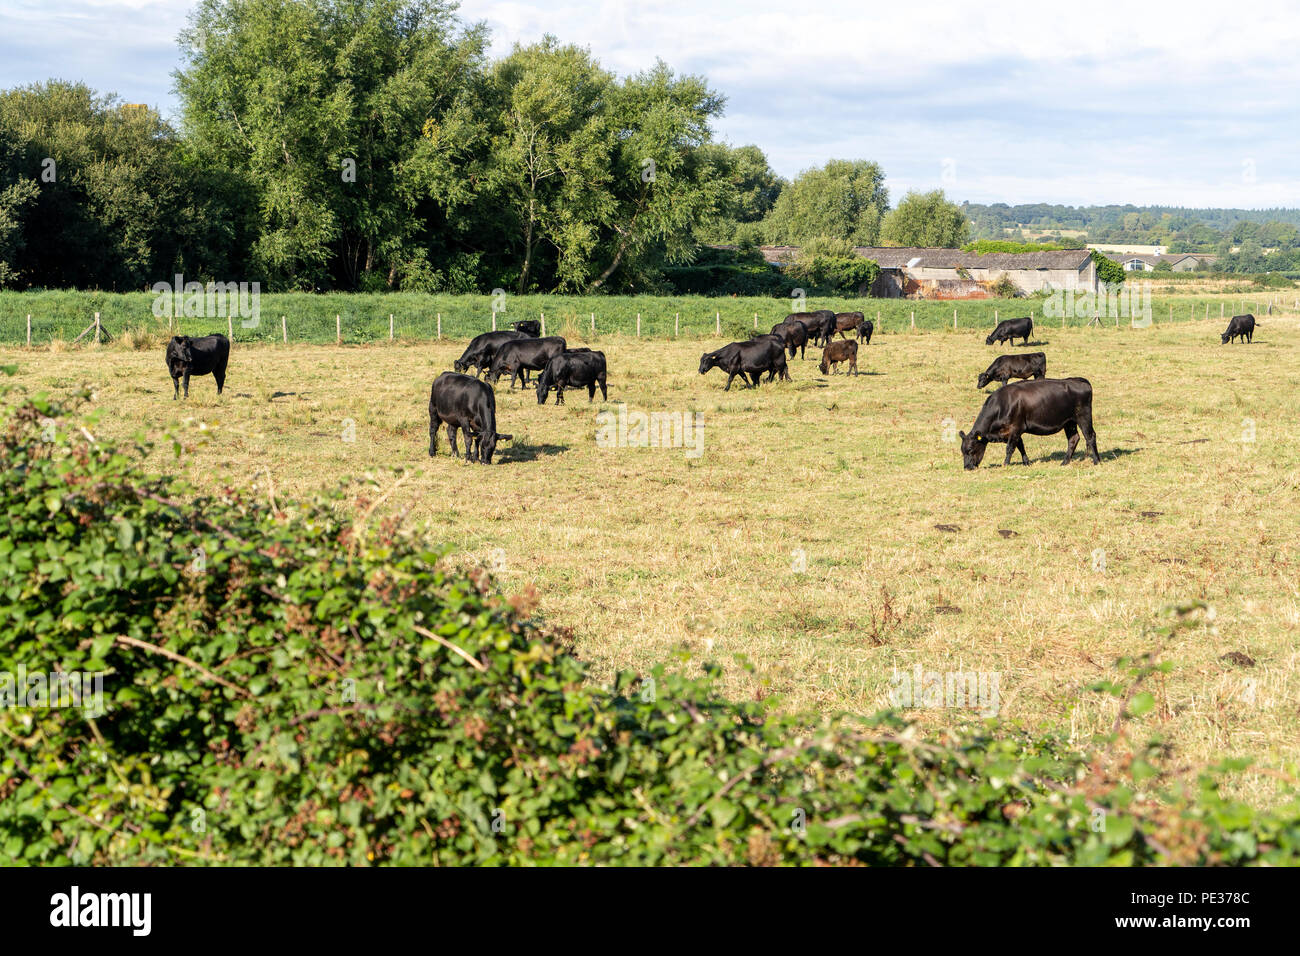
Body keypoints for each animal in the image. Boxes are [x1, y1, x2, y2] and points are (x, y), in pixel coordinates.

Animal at [956, 374, 1097, 468]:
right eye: (962, 451)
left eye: (970, 449)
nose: (967, 467)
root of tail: (1080, 380)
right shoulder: (1013, 432)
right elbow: (1020, 446)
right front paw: (1026, 462)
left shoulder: (1016, 428)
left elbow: (1010, 448)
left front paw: (1005, 464)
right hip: (1069, 422)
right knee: (1073, 439)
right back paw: (1064, 462)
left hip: (1083, 416)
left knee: (1090, 436)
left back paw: (1096, 461)